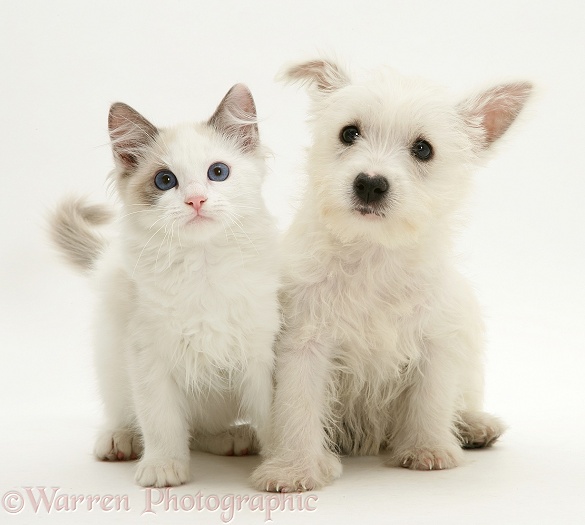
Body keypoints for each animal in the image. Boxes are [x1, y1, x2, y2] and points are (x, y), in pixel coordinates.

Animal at [51, 83, 280, 488]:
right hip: (111, 361)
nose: (196, 200)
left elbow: (272, 417)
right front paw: (163, 468)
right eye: (165, 181)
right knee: (139, 418)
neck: (203, 269)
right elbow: (161, 421)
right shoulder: (148, 356)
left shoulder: (259, 353)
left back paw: (234, 438)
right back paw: (119, 440)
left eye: (218, 172)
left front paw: (283, 464)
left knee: (201, 431)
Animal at [251, 60, 528, 492]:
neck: (373, 252)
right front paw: (294, 468)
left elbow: (432, 397)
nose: (369, 183)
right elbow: (299, 405)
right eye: (349, 133)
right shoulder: (306, 342)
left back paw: (473, 425)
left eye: (423, 149)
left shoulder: (437, 339)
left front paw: (428, 449)